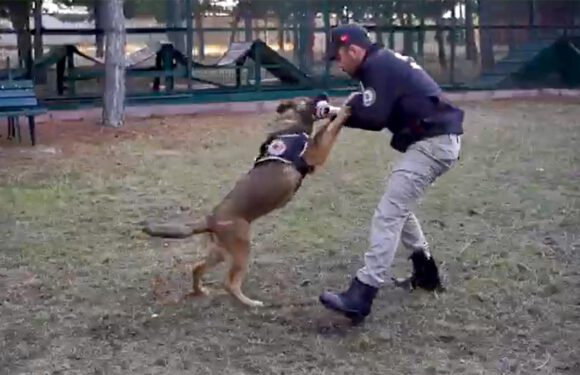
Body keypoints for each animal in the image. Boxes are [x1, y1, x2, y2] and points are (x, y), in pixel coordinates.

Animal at [143, 96, 352, 308]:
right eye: (308, 100)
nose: (324, 96)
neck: (291, 124)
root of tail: (210, 219)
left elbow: (326, 128)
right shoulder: (316, 153)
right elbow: (332, 129)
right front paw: (344, 110)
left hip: (220, 253)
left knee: (197, 268)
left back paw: (200, 291)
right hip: (242, 251)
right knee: (229, 283)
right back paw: (250, 303)